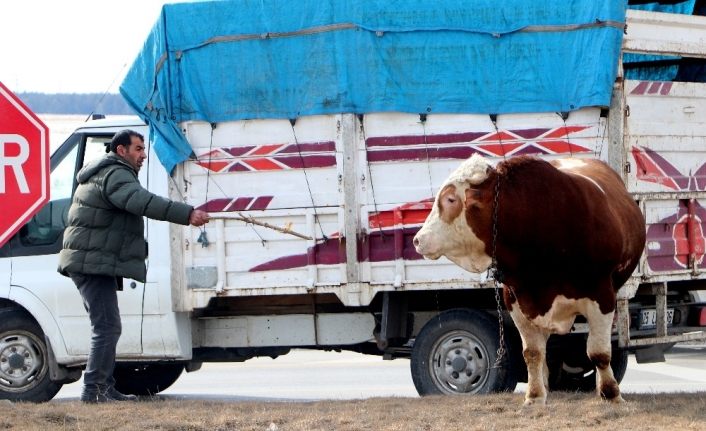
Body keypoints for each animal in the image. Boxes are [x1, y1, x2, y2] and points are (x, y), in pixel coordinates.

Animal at [412, 154, 644, 404]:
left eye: (451, 199)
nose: (417, 240)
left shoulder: (602, 296)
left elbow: (599, 352)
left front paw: (611, 394)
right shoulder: (515, 299)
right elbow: (532, 353)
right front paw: (534, 396)